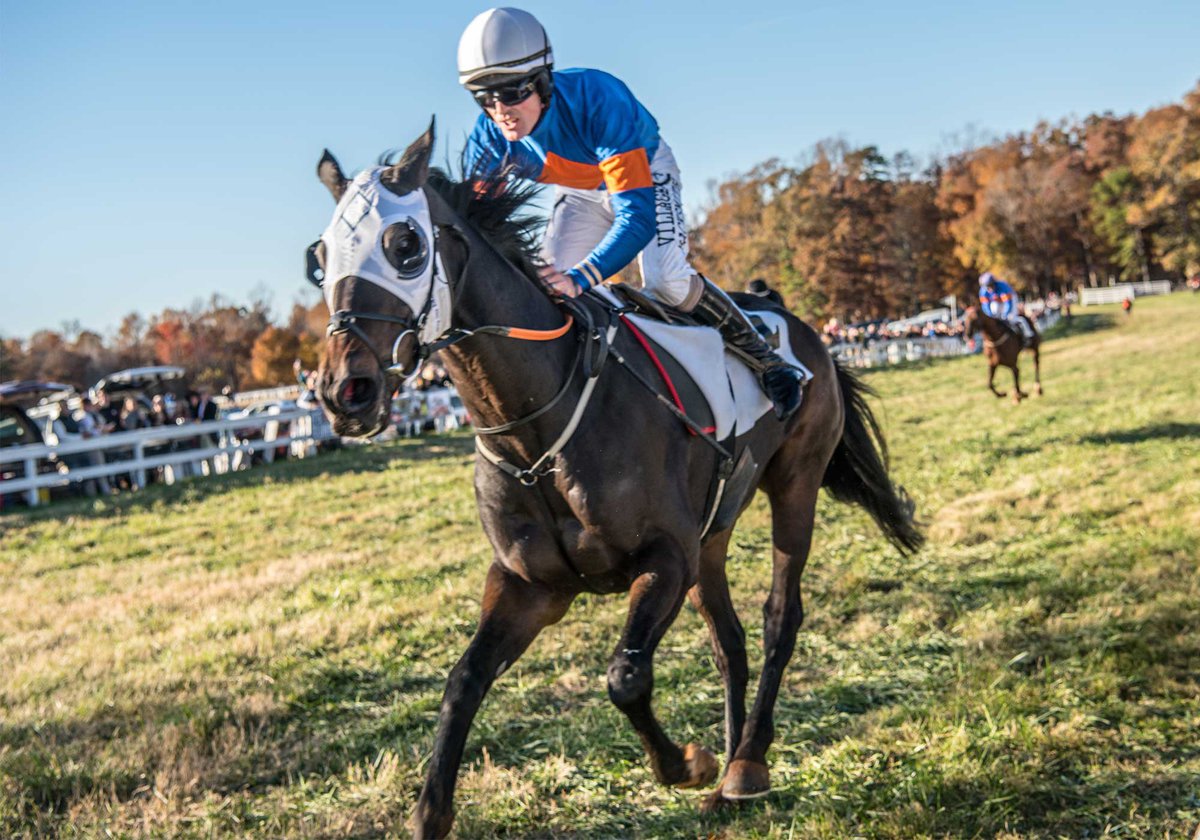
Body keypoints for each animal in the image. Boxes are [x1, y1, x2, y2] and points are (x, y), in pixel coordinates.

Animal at [307, 126, 916, 840]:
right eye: (320, 258)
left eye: (405, 245)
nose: (346, 390)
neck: (537, 428)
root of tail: (786, 316)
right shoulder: (529, 586)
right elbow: (462, 682)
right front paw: (430, 812)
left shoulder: (664, 558)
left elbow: (625, 675)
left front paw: (686, 764)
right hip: (712, 533)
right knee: (729, 640)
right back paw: (731, 774)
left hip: (795, 483)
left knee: (778, 618)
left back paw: (743, 763)